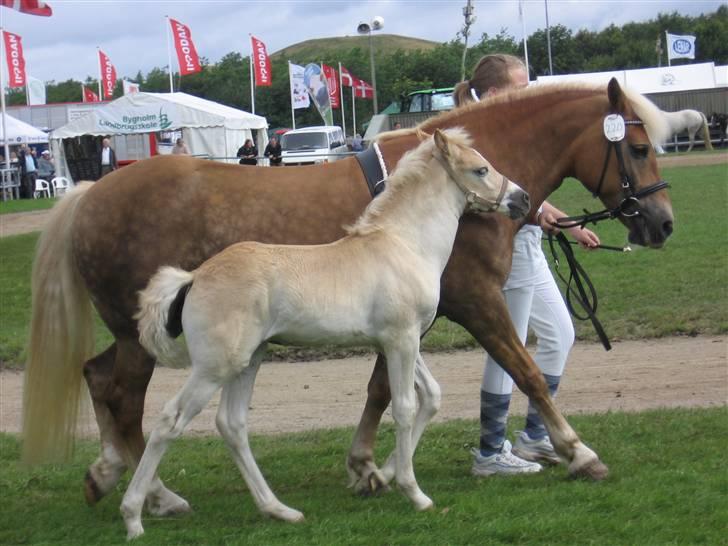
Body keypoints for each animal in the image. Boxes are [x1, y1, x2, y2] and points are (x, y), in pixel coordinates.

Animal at [22, 77, 672, 516]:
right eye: (639, 148)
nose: (662, 224)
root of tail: (90, 192)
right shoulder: (478, 303)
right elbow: (527, 372)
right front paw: (578, 452)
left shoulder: (409, 325)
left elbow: (385, 391)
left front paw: (370, 468)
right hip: (147, 340)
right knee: (126, 400)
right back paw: (155, 495)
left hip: (137, 331)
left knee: (96, 376)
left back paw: (108, 473)